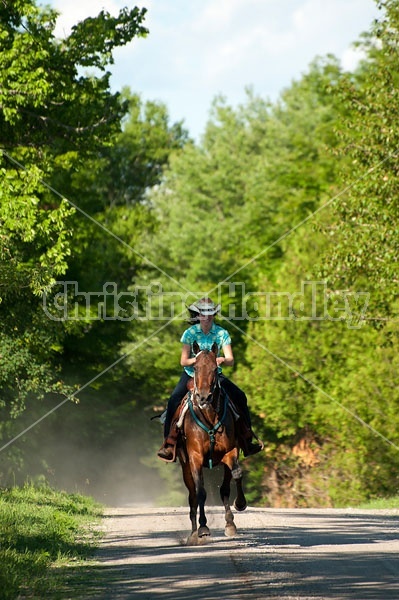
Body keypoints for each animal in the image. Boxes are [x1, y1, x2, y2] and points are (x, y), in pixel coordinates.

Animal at [178, 342, 247, 544]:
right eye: (195, 367)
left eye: (216, 369)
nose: (204, 397)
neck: (208, 417)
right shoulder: (195, 458)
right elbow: (201, 492)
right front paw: (203, 528)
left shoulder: (230, 451)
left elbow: (233, 479)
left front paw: (235, 515)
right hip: (185, 466)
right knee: (193, 495)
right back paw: (194, 533)